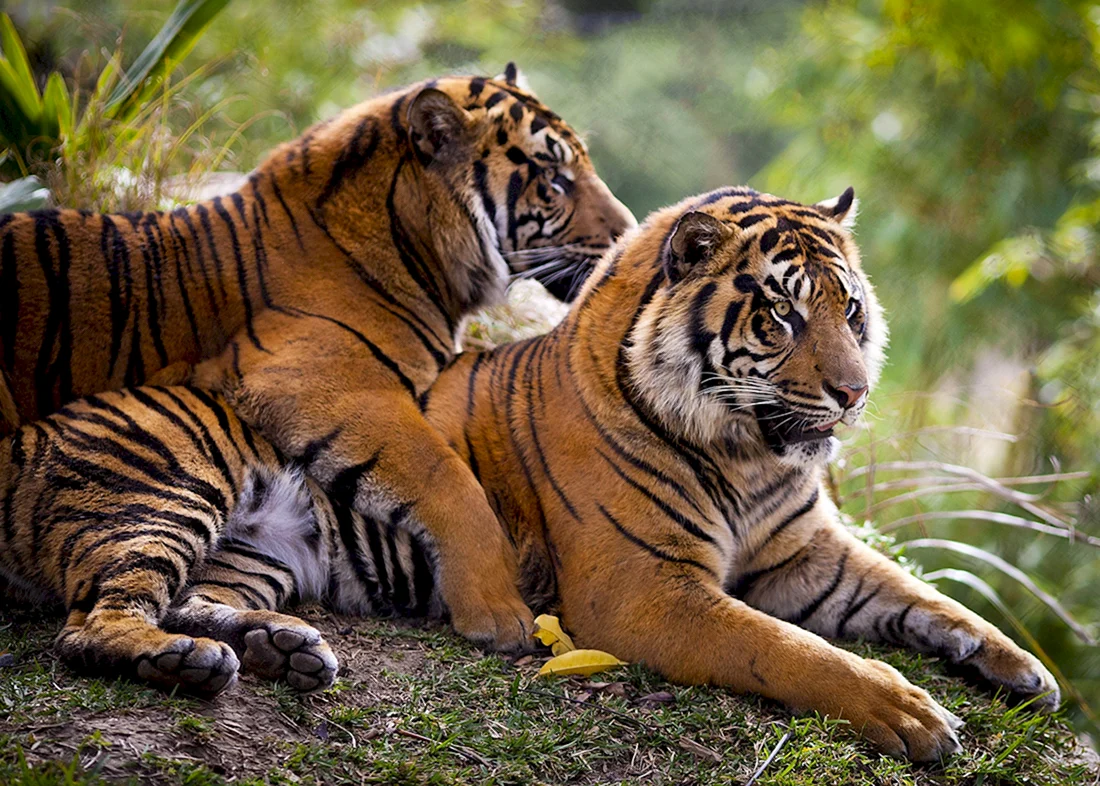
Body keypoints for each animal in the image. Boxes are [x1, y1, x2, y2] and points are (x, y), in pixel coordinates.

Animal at [0, 63, 636, 654]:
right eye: (554, 179)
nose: (627, 232)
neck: (414, 244)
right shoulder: (318, 380)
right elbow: (451, 481)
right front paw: (498, 614)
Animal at [0, 187, 1056, 760]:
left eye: (852, 311)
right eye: (784, 316)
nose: (852, 393)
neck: (749, 454)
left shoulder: (806, 555)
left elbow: (924, 597)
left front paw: (1021, 669)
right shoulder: (643, 591)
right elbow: (790, 650)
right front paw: (908, 712)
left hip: (253, 555)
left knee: (190, 598)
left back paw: (280, 649)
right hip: (172, 488)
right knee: (92, 623)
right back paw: (191, 665)